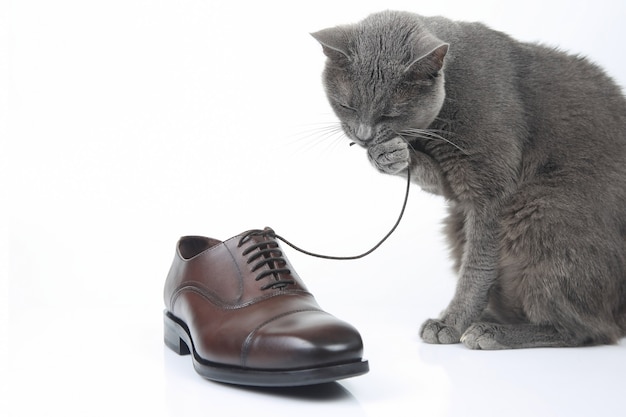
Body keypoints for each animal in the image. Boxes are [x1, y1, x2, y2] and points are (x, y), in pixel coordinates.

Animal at [312, 10, 624, 348]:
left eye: (390, 113)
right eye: (347, 105)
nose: (364, 135)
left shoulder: (491, 190)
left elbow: (478, 267)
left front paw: (452, 322)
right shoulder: (456, 188)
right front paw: (391, 155)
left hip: (545, 212)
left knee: (585, 329)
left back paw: (491, 331)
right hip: (456, 223)